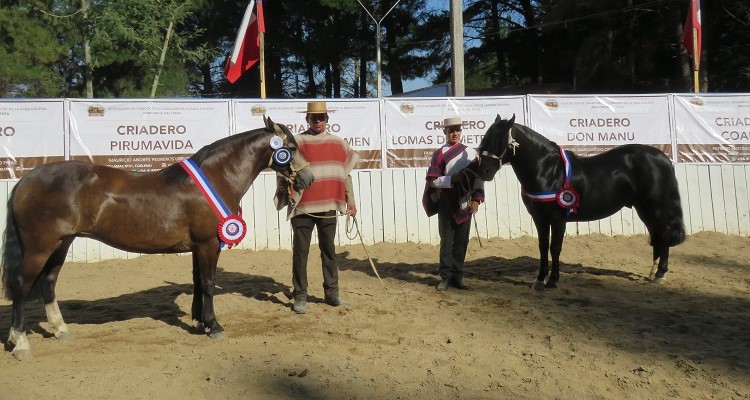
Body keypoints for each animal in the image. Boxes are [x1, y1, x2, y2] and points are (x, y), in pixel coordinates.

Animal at [476, 114, 688, 290]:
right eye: (486, 137)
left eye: (498, 141)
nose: (484, 171)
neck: (547, 169)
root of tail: (663, 158)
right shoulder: (540, 218)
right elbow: (543, 247)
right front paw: (539, 280)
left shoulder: (558, 218)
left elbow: (555, 247)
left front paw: (552, 281)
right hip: (643, 208)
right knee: (656, 235)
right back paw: (653, 273)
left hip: (656, 206)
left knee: (663, 234)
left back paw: (660, 274)